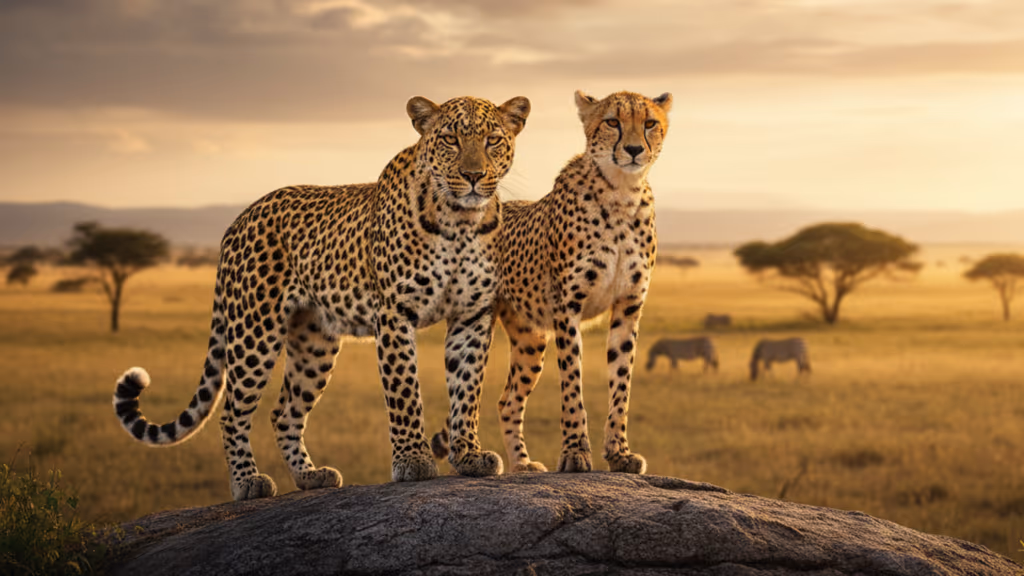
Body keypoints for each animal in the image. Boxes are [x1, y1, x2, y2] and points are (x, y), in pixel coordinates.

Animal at [111, 94, 530, 501]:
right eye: (450, 140)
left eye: (493, 140)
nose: (473, 176)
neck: (461, 220)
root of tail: (238, 221)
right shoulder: (395, 313)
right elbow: (404, 389)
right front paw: (413, 460)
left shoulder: (472, 315)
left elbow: (467, 387)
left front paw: (469, 455)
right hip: (254, 329)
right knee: (232, 412)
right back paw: (248, 482)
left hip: (314, 343)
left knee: (284, 413)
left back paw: (310, 477)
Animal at [433, 90, 672, 475]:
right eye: (612, 121)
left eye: (650, 123)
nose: (635, 149)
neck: (621, 192)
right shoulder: (567, 308)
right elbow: (572, 382)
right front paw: (575, 453)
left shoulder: (628, 307)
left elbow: (621, 382)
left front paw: (619, 453)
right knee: (473, 393)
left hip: (530, 339)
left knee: (508, 401)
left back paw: (522, 465)